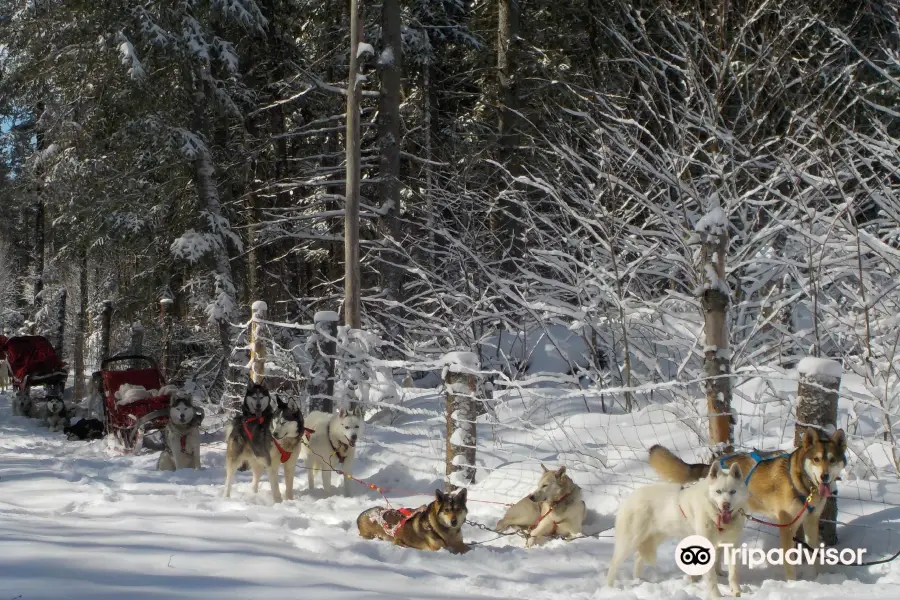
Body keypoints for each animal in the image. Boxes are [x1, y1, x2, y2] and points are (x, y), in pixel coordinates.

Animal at [604, 462, 752, 596]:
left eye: (733, 492)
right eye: (718, 491)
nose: (726, 505)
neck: (717, 517)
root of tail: (630, 498)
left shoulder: (730, 544)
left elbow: (733, 572)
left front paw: (736, 591)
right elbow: (711, 578)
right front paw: (716, 596)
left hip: (654, 538)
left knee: (638, 557)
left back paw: (639, 580)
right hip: (629, 542)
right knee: (614, 563)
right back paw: (610, 588)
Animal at [648, 424, 844, 580]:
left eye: (832, 460)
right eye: (816, 459)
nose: (825, 476)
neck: (802, 484)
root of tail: (712, 467)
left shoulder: (811, 521)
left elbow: (815, 555)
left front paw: (817, 578)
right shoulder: (787, 527)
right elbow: (790, 564)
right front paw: (793, 584)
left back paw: (719, 573)